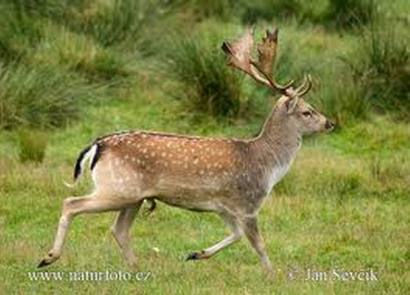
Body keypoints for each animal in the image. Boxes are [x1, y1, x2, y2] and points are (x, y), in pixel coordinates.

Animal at [37, 27, 334, 272]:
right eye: (307, 111)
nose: (329, 122)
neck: (267, 166)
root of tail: (97, 145)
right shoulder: (248, 202)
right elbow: (258, 243)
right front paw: (273, 274)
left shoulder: (224, 206)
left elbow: (236, 235)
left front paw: (196, 254)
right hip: (117, 189)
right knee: (71, 203)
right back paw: (48, 257)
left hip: (133, 196)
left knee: (118, 229)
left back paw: (137, 268)